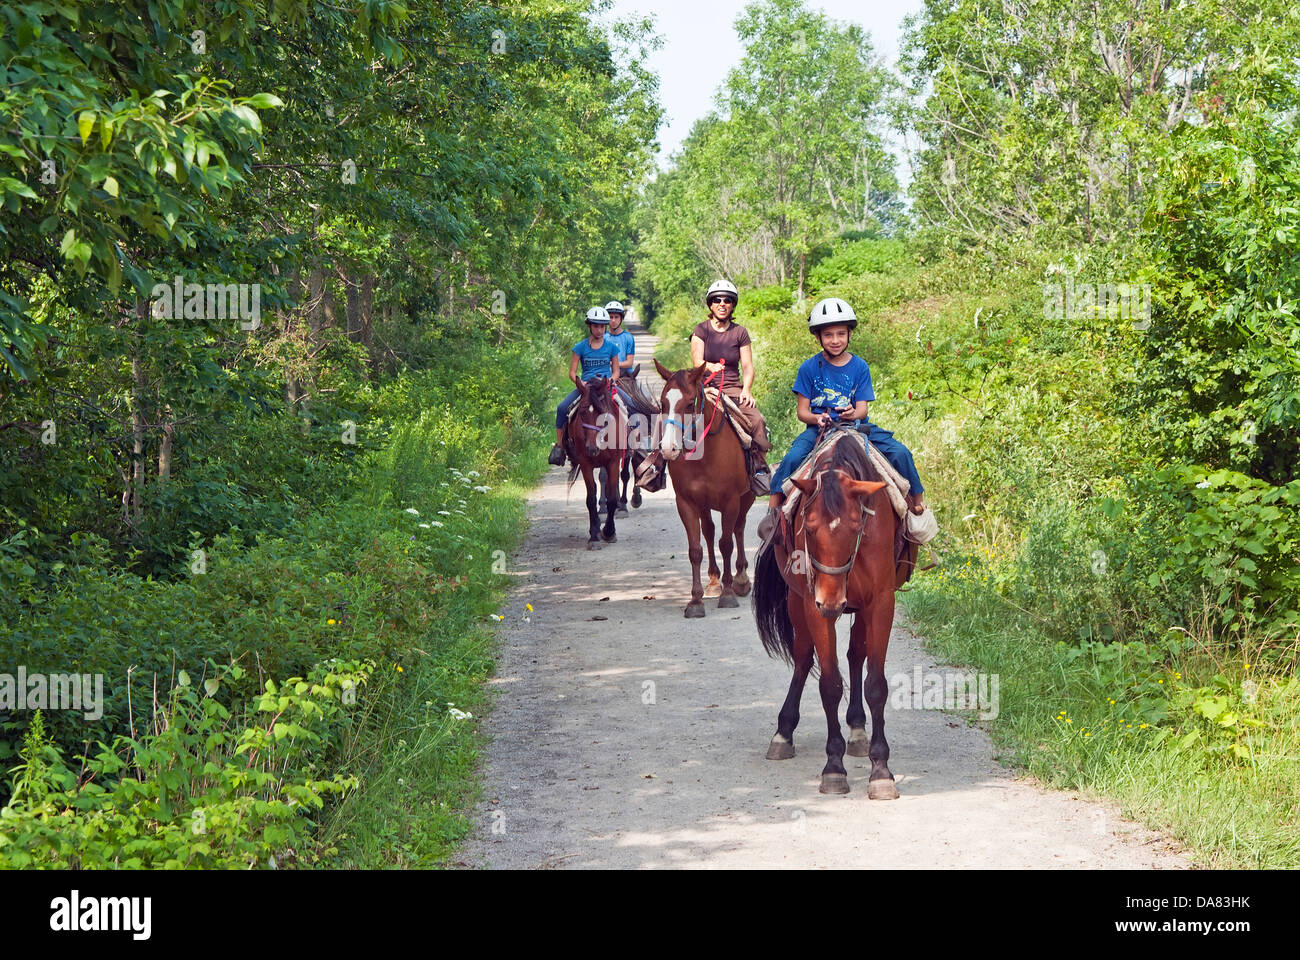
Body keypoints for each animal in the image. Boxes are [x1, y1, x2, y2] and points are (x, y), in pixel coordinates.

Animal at [566, 377, 626, 548]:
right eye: (582, 413)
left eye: (603, 414)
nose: (592, 448)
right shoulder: (585, 463)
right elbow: (591, 498)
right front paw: (594, 535)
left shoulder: (613, 462)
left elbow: (612, 498)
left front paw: (609, 532)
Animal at [655, 356, 759, 613]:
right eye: (663, 402)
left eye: (689, 403)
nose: (669, 449)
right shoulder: (686, 503)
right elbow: (696, 549)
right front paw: (695, 601)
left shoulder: (731, 501)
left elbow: (727, 544)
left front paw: (729, 594)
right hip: (704, 505)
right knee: (709, 532)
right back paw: (713, 582)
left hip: (746, 497)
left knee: (738, 529)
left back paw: (741, 579)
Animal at [754, 429, 904, 796]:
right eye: (808, 529)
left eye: (856, 527)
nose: (832, 603)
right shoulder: (813, 605)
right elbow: (830, 684)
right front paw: (833, 767)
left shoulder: (880, 602)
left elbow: (875, 683)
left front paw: (881, 769)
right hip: (798, 602)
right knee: (803, 658)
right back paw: (783, 733)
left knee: (855, 654)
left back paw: (858, 729)